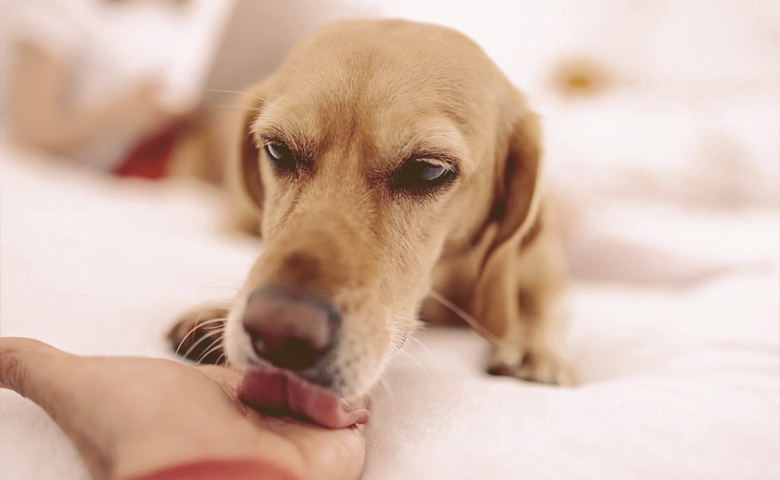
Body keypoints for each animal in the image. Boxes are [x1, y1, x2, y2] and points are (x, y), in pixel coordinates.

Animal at [169, 16, 572, 426]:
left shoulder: (541, 271)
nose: (279, 333)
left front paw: (534, 349)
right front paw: (217, 313)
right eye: (277, 150)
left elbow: (543, 307)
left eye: (429, 170)